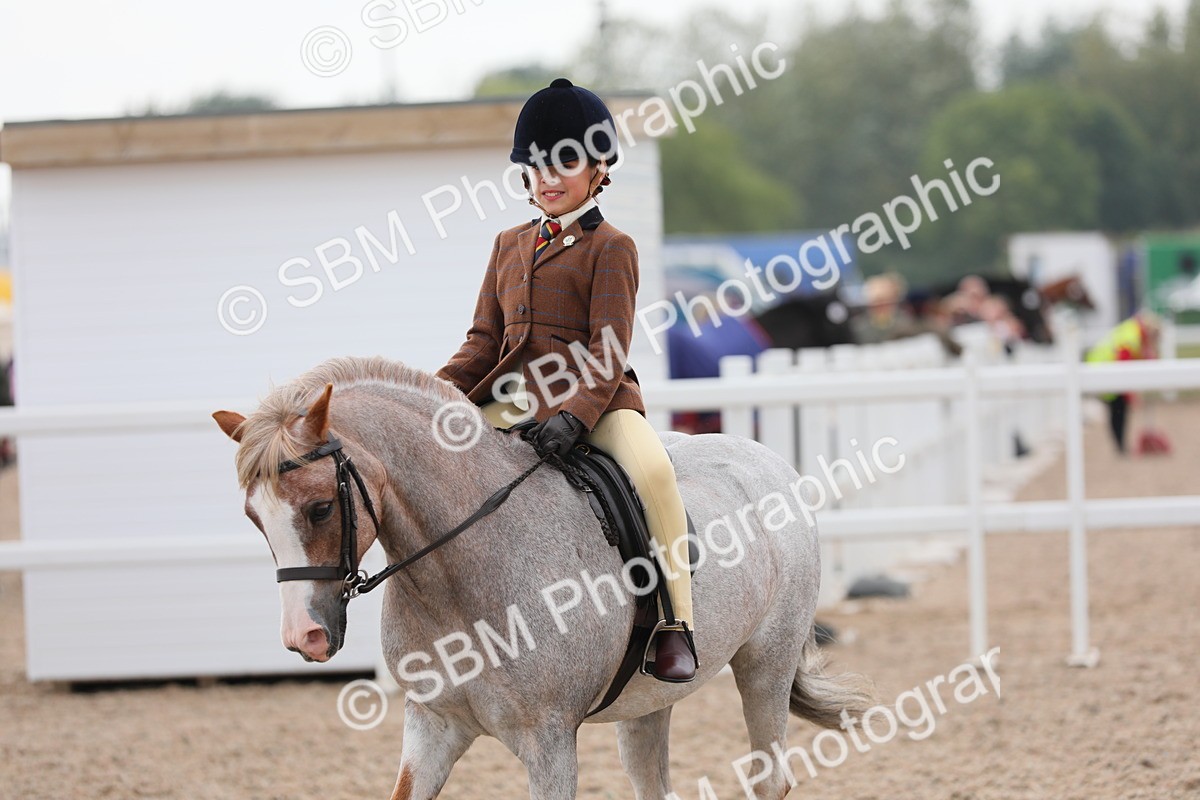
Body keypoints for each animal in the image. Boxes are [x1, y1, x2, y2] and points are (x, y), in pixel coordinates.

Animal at [212, 356, 872, 800]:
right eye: (253, 517)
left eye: (322, 507)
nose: (304, 637)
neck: (460, 575)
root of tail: (768, 459)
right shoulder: (431, 726)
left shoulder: (549, 740)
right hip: (649, 699)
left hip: (766, 665)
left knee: (770, 775)